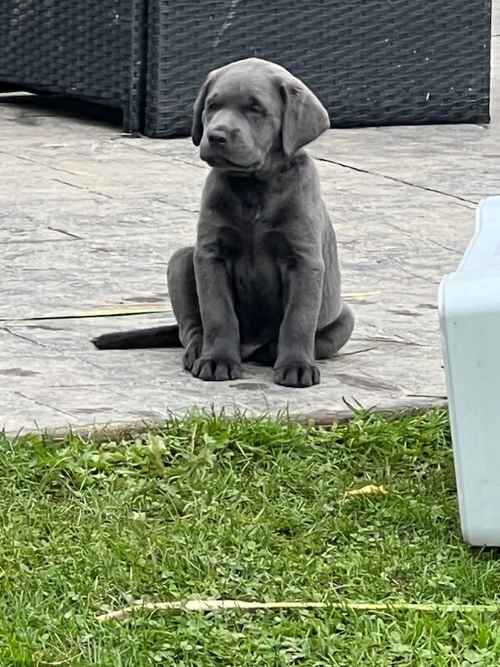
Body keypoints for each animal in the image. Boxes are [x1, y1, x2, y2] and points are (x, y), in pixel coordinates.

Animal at [92, 60, 354, 392]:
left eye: (256, 109)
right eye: (212, 106)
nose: (216, 135)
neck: (254, 188)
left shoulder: (304, 260)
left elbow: (298, 320)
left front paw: (296, 366)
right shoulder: (210, 255)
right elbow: (218, 314)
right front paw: (217, 361)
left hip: (345, 318)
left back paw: (271, 352)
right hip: (181, 260)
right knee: (190, 328)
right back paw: (198, 351)